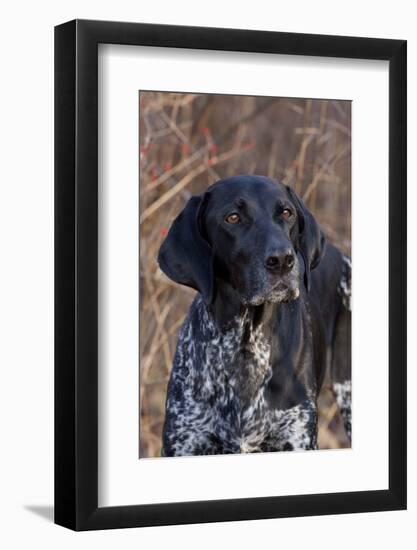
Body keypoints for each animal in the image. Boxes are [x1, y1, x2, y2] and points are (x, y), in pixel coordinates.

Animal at [158, 176, 350, 458]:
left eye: (286, 213)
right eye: (233, 217)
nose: (282, 260)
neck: (244, 346)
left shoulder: (296, 437)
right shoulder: (184, 442)